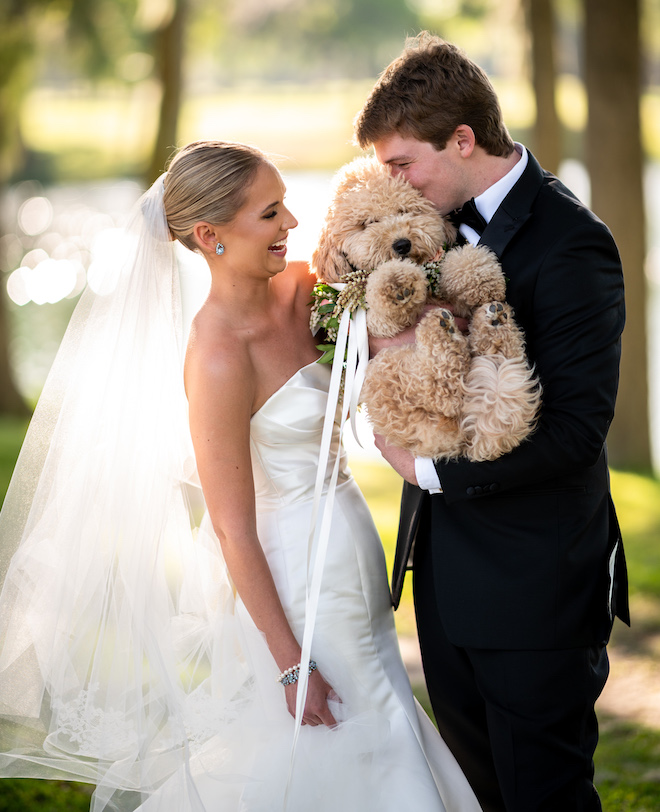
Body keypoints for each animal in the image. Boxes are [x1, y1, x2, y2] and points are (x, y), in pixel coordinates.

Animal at [312, 157, 540, 464]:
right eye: (368, 223)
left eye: (404, 210)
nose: (402, 244)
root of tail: (464, 439)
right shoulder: (374, 324)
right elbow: (384, 301)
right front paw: (397, 281)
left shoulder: (453, 297)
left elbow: (462, 264)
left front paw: (481, 278)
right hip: (383, 372)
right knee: (442, 388)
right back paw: (447, 333)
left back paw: (493, 324)